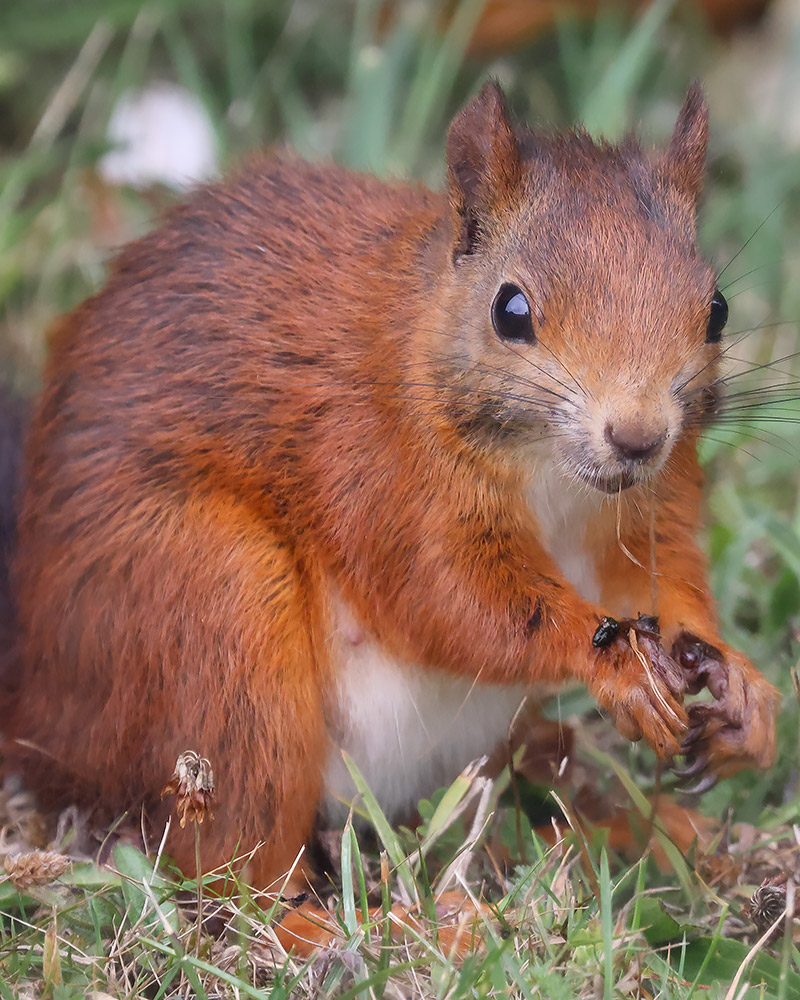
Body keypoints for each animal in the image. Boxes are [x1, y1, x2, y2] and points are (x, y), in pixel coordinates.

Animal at [4, 81, 780, 897]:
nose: (636, 436)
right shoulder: (375, 466)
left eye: (717, 310)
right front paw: (613, 660)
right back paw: (344, 917)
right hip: (210, 611)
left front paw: (743, 686)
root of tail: (37, 710)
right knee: (229, 858)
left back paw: (667, 832)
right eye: (510, 310)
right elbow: (452, 598)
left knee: (547, 776)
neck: (553, 475)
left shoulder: (650, 502)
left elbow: (662, 578)